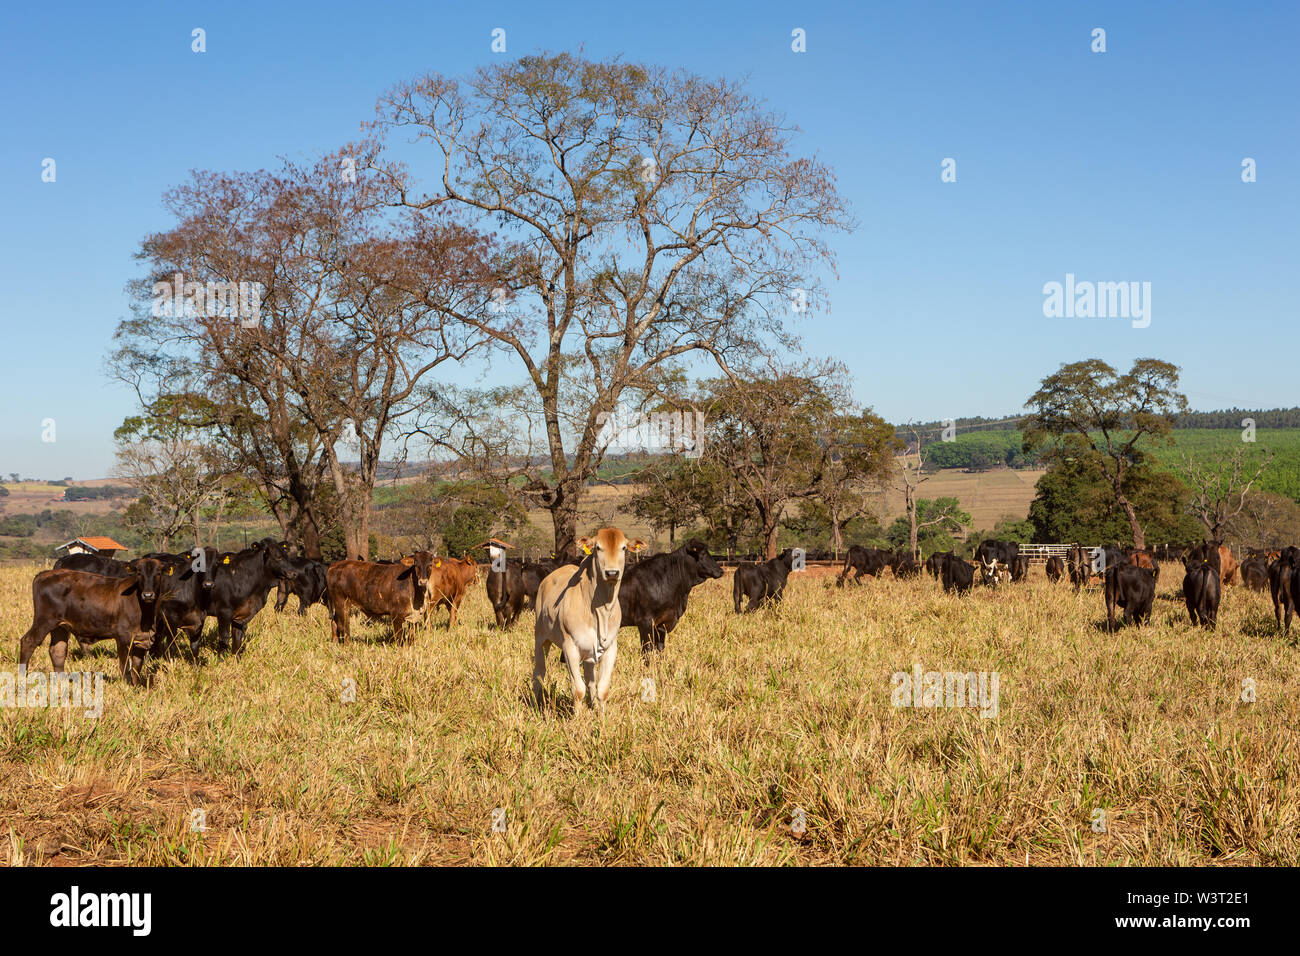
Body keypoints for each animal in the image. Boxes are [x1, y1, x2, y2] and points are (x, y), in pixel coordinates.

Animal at [533, 528, 644, 712]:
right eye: (598, 547)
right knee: (539, 673)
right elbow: (578, 689)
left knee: (590, 681)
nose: (612, 573)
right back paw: (536, 702)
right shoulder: (570, 648)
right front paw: (577, 717)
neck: (599, 609)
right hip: (540, 639)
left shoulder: (610, 649)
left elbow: (602, 689)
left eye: (623, 548)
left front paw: (602, 715)